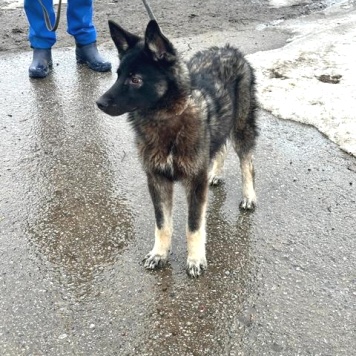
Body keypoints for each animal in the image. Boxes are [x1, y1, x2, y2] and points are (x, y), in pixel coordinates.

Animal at [97, 19, 258, 278]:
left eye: (135, 79)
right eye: (118, 75)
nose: (99, 103)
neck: (166, 119)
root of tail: (228, 48)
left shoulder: (194, 182)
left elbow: (193, 226)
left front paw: (195, 259)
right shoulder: (157, 179)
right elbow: (162, 224)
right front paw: (159, 254)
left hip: (242, 125)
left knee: (247, 163)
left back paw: (249, 196)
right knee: (219, 148)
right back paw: (216, 174)